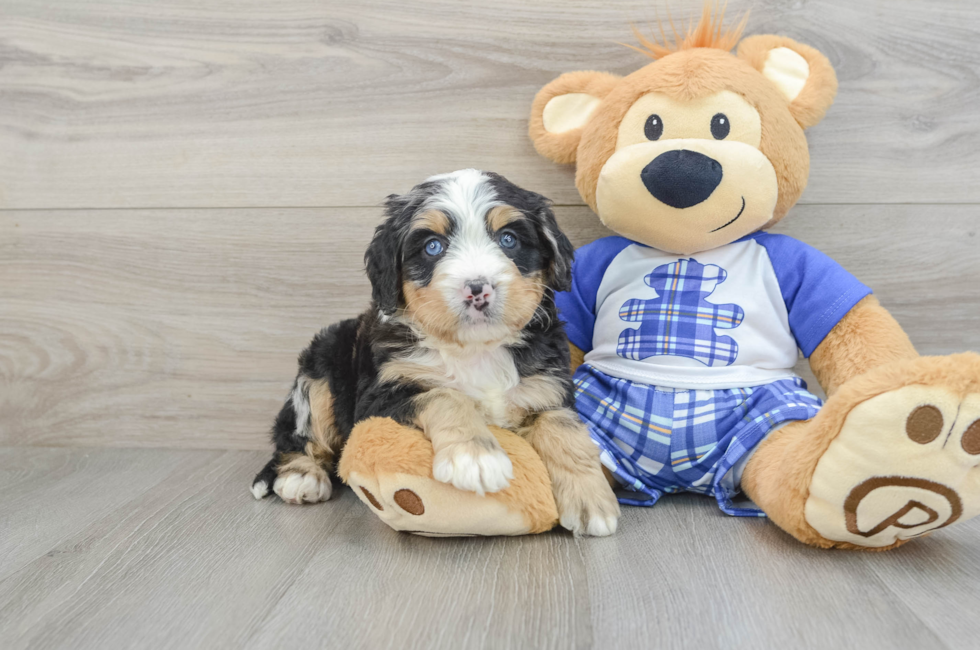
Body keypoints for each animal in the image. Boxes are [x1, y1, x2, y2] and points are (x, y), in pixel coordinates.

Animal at [253, 168, 620, 536]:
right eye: (433, 246)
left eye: (508, 239)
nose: (478, 289)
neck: (475, 349)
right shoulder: (379, 398)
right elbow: (445, 395)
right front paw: (476, 458)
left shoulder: (549, 385)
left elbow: (564, 428)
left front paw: (591, 501)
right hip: (323, 366)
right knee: (298, 433)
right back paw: (302, 476)